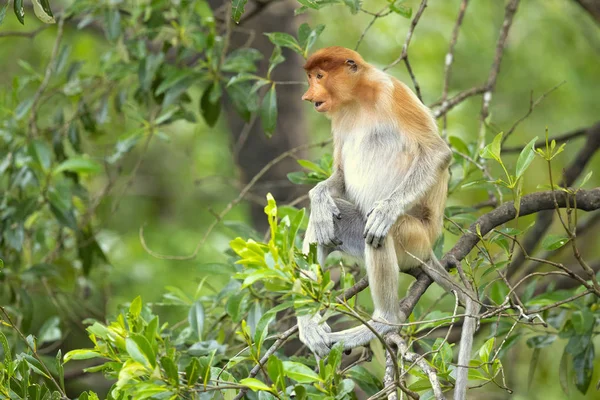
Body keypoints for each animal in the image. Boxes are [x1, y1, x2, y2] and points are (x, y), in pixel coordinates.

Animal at [298, 47, 476, 400]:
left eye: (319, 76)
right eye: (311, 78)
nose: (308, 96)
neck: (358, 99)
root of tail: (429, 248)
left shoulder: (393, 92)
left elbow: (437, 153)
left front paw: (385, 211)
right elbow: (339, 176)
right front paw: (318, 196)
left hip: (414, 236)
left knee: (380, 235)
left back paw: (384, 324)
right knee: (330, 222)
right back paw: (310, 324)